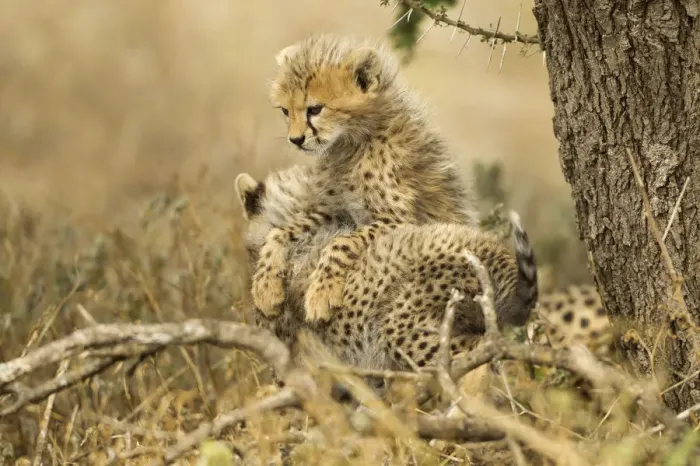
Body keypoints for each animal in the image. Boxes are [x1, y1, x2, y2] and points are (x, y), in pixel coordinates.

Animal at [252, 33, 479, 325]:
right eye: (284, 111)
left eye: (315, 109)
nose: (296, 139)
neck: (351, 143)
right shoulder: (333, 210)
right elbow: (280, 231)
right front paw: (265, 285)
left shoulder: (401, 221)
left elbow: (342, 242)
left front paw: (321, 293)